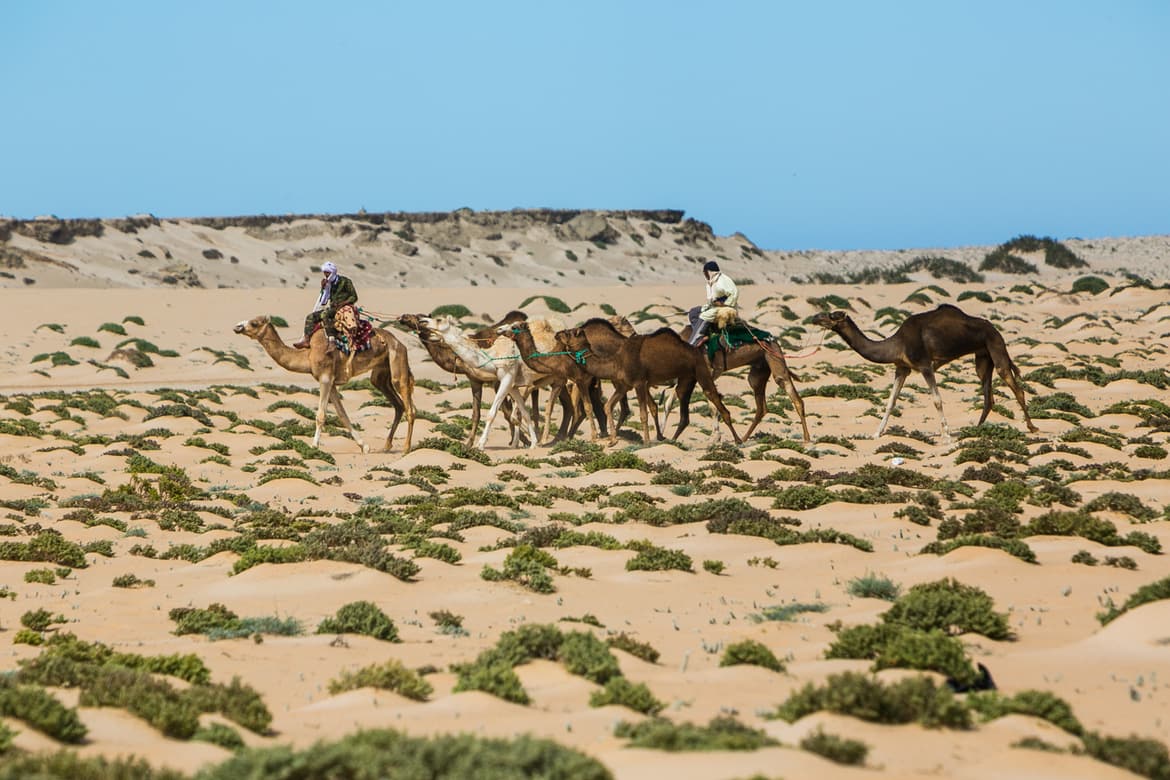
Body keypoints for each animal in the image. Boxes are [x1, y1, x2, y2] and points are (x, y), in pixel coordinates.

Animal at [232, 315, 416, 453]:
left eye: (254, 323)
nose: (237, 327)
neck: (307, 356)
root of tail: (400, 342)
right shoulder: (332, 382)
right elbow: (342, 414)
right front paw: (364, 446)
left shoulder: (325, 378)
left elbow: (321, 415)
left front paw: (314, 446)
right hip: (381, 373)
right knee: (398, 404)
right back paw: (387, 446)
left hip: (397, 362)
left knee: (409, 408)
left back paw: (406, 449)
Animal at [556, 322, 739, 444]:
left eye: (570, 332)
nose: (557, 333)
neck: (616, 360)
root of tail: (697, 349)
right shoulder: (624, 385)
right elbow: (609, 405)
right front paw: (612, 440)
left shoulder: (639, 383)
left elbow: (643, 414)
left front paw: (646, 441)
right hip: (687, 377)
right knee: (683, 402)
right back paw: (671, 440)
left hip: (700, 368)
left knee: (713, 397)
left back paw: (738, 440)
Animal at [809, 304, 1038, 439]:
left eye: (832, 315)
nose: (813, 318)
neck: (896, 344)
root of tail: (995, 328)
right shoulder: (902, 368)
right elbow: (891, 401)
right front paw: (876, 433)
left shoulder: (924, 365)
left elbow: (936, 399)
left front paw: (947, 435)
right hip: (982, 357)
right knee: (988, 395)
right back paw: (976, 430)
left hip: (996, 345)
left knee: (1014, 385)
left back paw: (1032, 427)